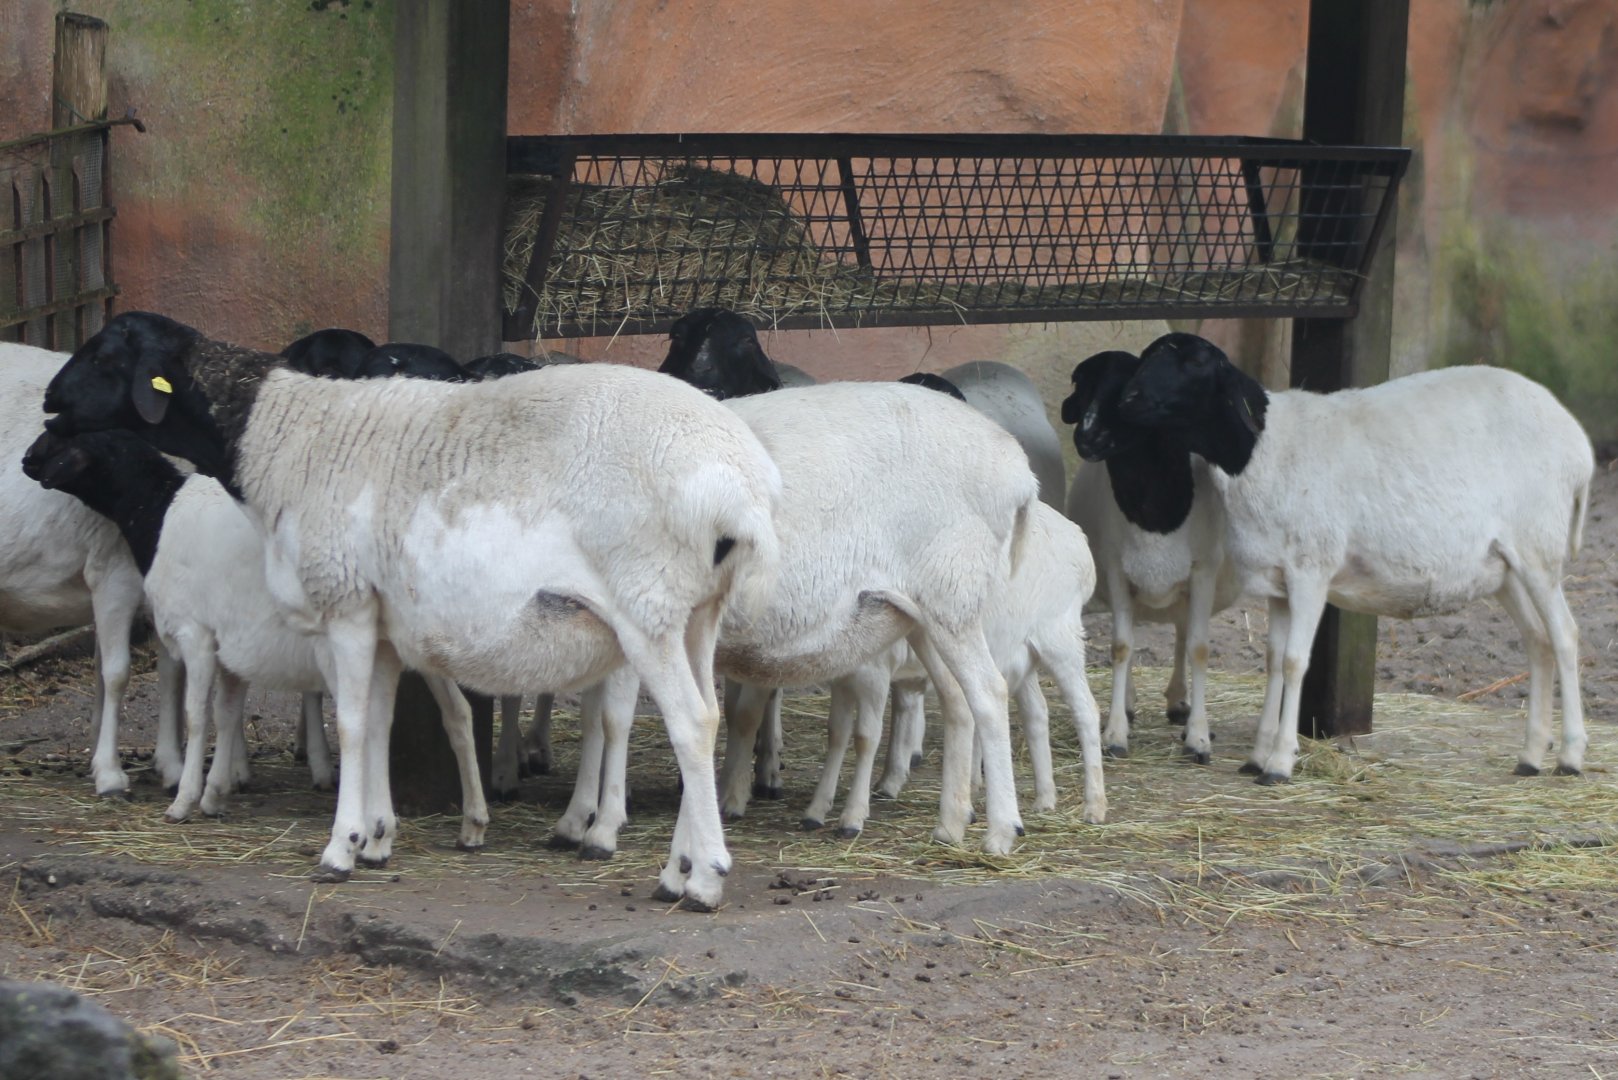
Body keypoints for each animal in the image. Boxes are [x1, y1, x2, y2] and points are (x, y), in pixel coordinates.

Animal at [22, 427, 489, 841]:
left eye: (65, 438)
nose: (27, 461)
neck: (158, 515)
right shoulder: (231, 643)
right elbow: (227, 715)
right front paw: (215, 794)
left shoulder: (196, 634)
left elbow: (197, 716)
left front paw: (184, 799)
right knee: (457, 715)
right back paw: (472, 824)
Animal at [1061, 349, 1242, 762]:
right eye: (1083, 384)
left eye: (1127, 389)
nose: (1087, 435)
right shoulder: (1116, 569)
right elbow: (1121, 647)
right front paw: (1115, 733)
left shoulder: (1203, 571)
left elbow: (1199, 649)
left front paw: (1199, 738)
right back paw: (1131, 703)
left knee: (1182, 634)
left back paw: (1179, 704)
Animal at [1112, 332, 1594, 782]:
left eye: (1195, 364)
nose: (1128, 400)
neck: (1264, 449)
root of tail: (1579, 445)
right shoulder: (1279, 582)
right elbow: (1273, 661)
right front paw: (1257, 756)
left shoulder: (1311, 570)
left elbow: (1294, 662)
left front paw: (1280, 763)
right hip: (1506, 567)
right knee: (1538, 641)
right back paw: (1530, 756)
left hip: (1538, 548)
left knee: (1566, 636)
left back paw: (1570, 756)